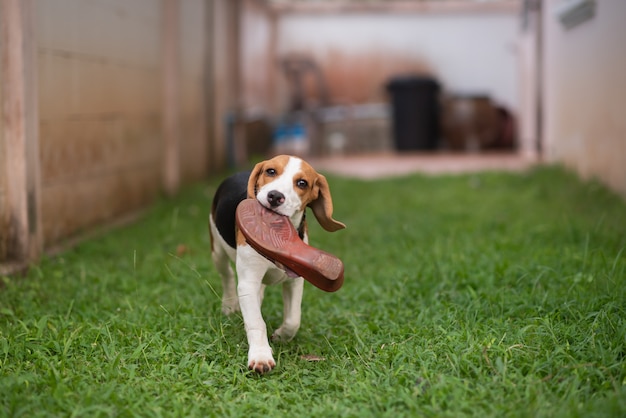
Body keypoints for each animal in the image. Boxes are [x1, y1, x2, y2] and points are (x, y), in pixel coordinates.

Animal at [211, 155, 346, 374]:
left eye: (302, 183)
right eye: (271, 171)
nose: (275, 196)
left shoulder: (295, 281)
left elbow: (293, 319)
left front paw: (282, 336)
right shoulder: (248, 282)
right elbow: (256, 322)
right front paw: (260, 355)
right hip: (217, 251)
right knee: (227, 275)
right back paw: (229, 305)